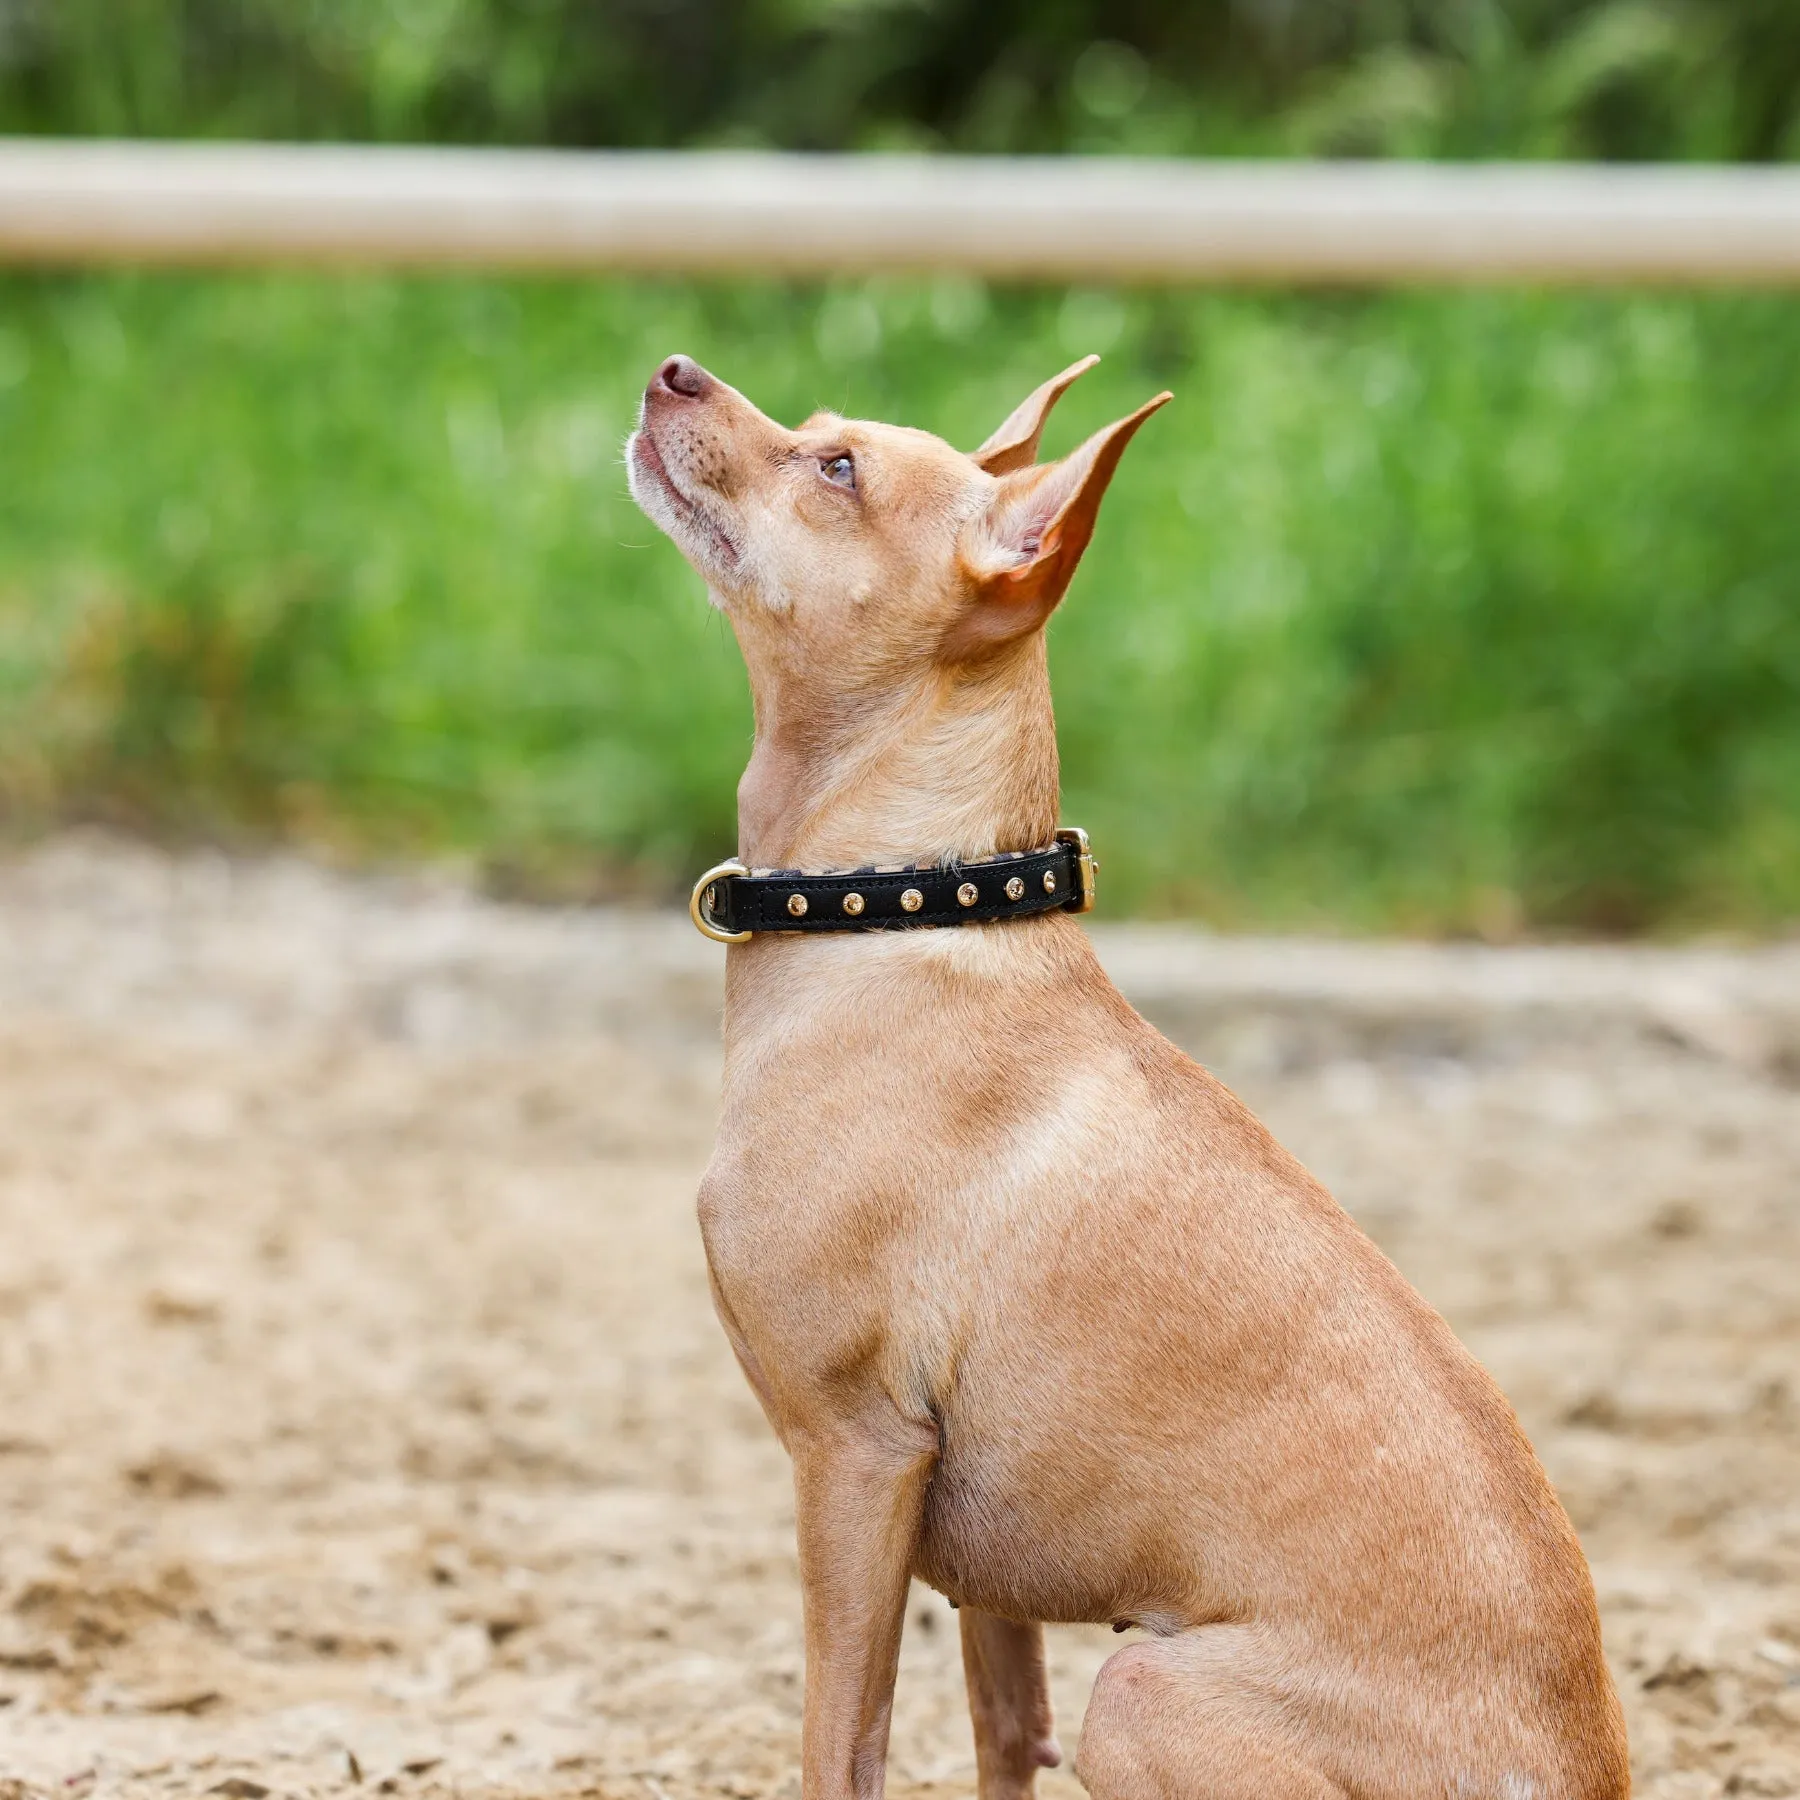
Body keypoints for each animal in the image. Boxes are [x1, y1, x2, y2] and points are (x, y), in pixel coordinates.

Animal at [626, 354, 1627, 1800]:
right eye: (816, 432)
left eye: (839, 472)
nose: (675, 371)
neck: (901, 911)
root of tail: (1579, 1773)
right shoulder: (965, 1561)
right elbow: (1000, 1736)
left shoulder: (855, 1459)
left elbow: (840, 1744)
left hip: (1142, 1692)